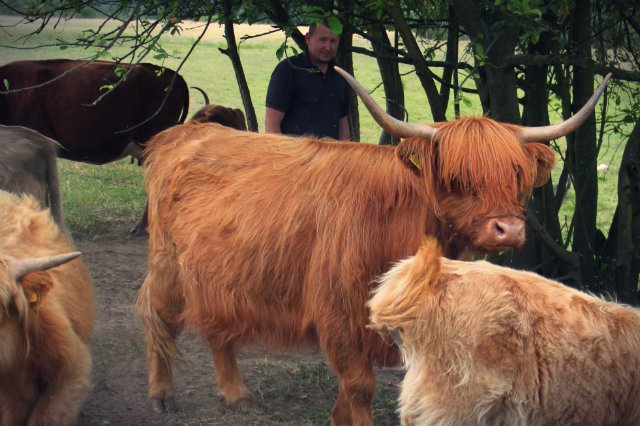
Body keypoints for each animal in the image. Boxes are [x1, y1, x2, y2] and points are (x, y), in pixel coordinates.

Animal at [135, 71, 608, 424]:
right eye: (457, 177)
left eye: (516, 174)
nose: (507, 230)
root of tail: (188, 132)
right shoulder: (339, 309)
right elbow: (360, 386)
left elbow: (350, 390)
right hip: (167, 264)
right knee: (158, 316)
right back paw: (160, 395)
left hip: (220, 270)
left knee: (218, 326)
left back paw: (236, 393)